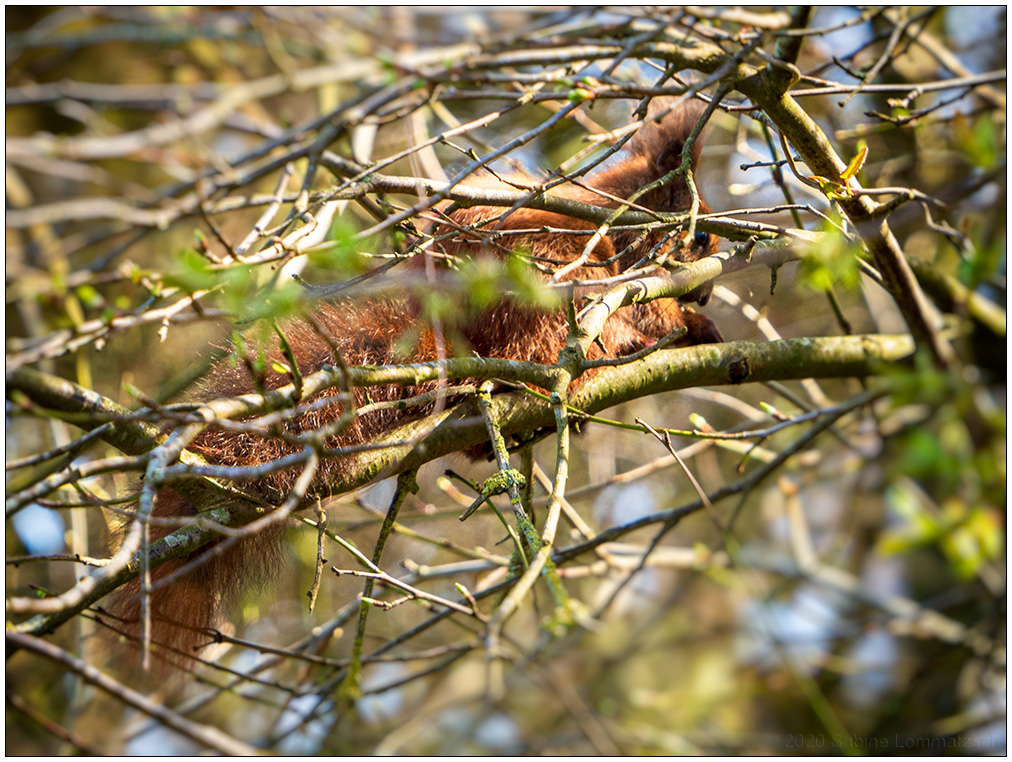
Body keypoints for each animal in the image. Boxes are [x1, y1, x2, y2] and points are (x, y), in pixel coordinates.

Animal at [106, 98, 723, 667]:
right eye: (699, 239)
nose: (709, 289)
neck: (627, 207)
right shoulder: (624, 260)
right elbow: (648, 307)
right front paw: (690, 324)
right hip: (556, 273)